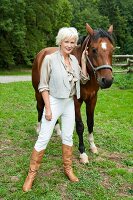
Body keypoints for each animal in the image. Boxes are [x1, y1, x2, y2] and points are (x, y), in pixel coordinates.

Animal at [31, 23, 114, 163]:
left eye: (112, 50)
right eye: (93, 49)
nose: (107, 80)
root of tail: (41, 53)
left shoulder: (92, 99)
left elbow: (90, 122)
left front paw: (93, 146)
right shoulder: (76, 102)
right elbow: (80, 126)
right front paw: (83, 153)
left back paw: (58, 131)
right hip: (39, 92)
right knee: (40, 107)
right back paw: (38, 129)